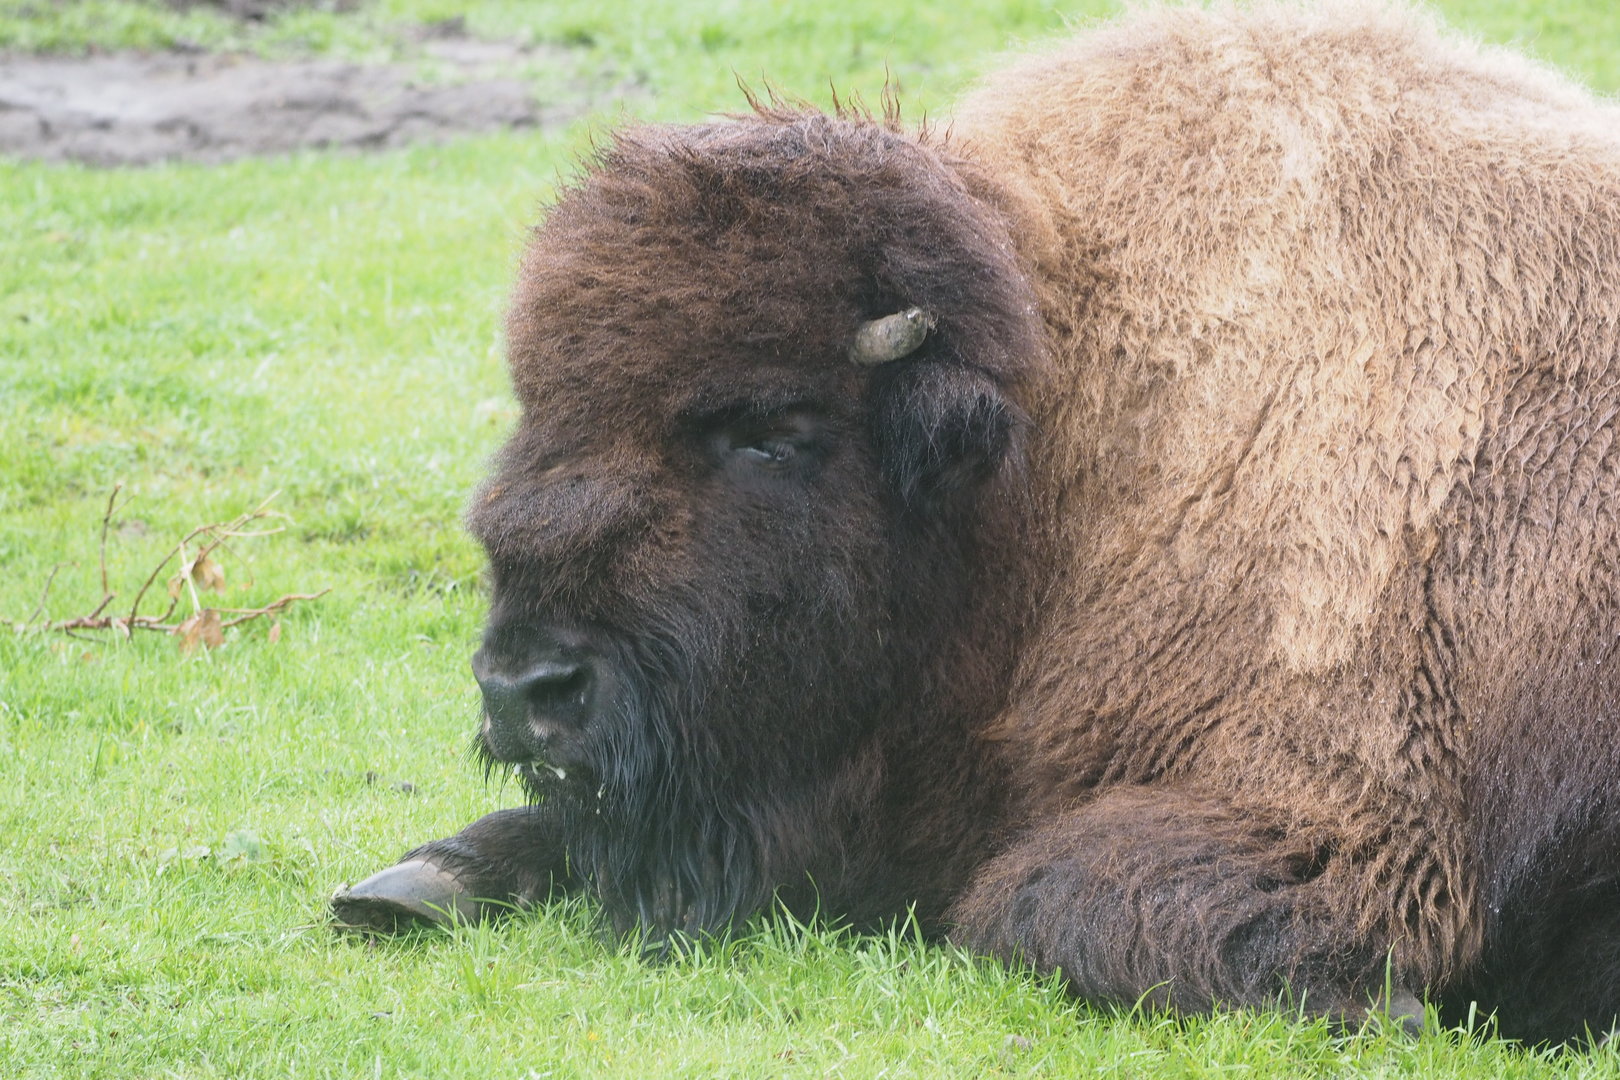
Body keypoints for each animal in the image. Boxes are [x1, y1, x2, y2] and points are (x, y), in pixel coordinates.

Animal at [331, 2, 1620, 1044]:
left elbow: (1037, 902)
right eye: (539, 406)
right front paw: (408, 882)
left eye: (772, 429)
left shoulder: (1342, 812)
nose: (526, 692)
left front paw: (1387, 1007)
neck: (1066, 424)